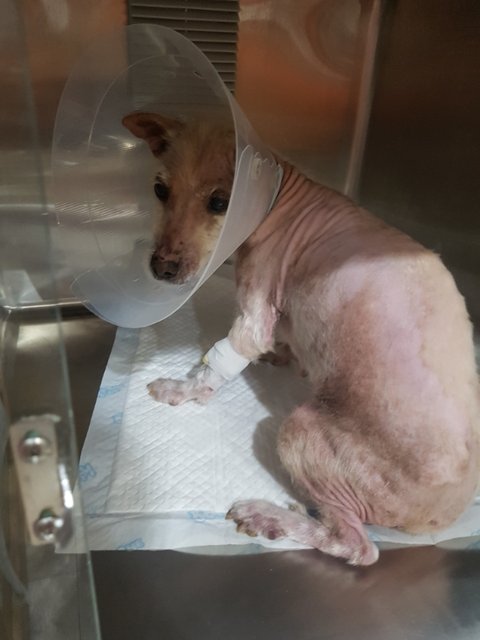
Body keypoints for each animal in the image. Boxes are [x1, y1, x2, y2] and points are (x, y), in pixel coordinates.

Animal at [122, 111, 480, 566]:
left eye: (220, 203)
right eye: (160, 189)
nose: (162, 269)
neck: (276, 196)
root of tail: (443, 516)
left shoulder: (256, 304)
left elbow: (224, 359)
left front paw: (179, 388)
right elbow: (282, 338)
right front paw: (281, 356)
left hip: (306, 434)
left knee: (355, 545)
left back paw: (269, 518)